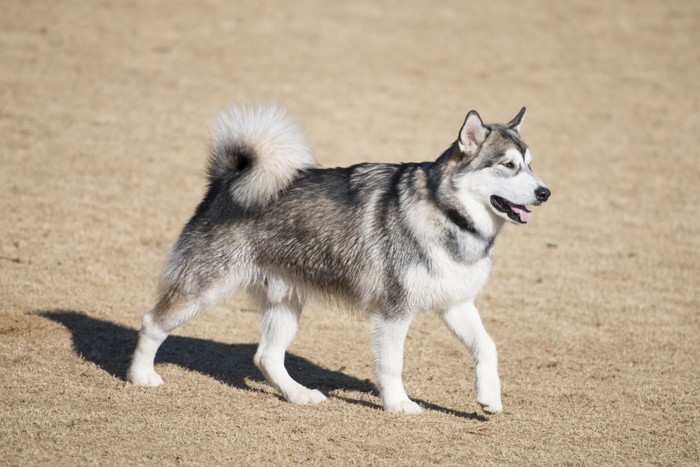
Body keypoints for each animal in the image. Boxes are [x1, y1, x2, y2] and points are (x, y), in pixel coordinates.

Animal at [129, 104, 548, 414]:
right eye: (508, 165)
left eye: (530, 164)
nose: (545, 192)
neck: (446, 213)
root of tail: (228, 178)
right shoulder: (393, 312)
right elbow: (392, 364)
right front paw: (399, 405)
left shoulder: (457, 303)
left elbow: (487, 347)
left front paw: (489, 399)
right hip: (205, 287)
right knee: (153, 323)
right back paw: (140, 376)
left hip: (286, 301)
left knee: (267, 357)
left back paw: (299, 395)